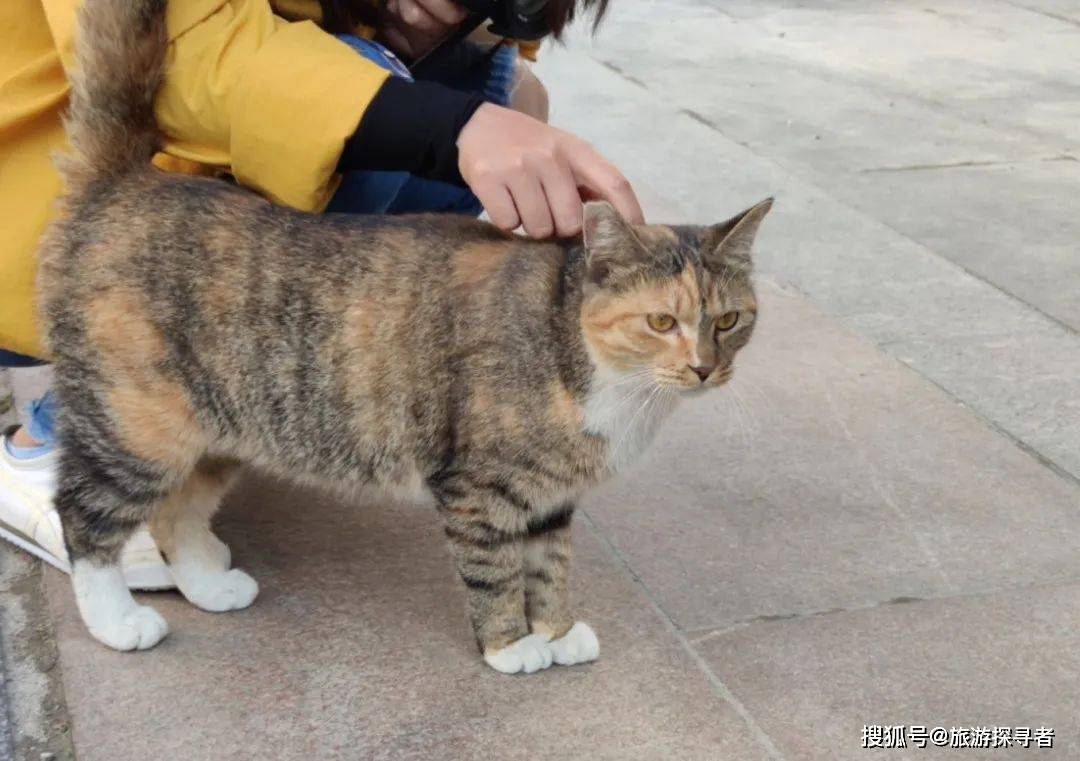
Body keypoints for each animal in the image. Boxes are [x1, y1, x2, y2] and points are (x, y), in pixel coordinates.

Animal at [39, 0, 768, 673]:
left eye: (729, 321)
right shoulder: (477, 485)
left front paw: (558, 630)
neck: (607, 377)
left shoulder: (552, 498)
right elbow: (496, 570)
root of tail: (129, 180)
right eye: (661, 322)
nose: (705, 368)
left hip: (220, 426)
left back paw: (209, 584)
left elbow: (550, 564)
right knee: (84, 515)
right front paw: (513, 644)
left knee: (178, 512)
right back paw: (116, 619)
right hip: (138, 426)